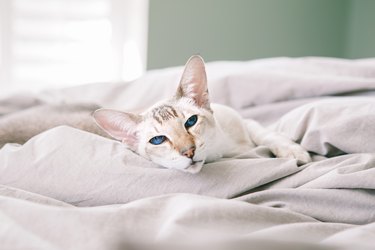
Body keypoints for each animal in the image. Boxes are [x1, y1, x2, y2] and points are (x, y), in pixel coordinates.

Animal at [93, 54, 312, 173]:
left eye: (191, 121)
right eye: (157, 140)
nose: (188, 152)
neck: (223, 150)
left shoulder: (245, 120)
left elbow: (267, 134)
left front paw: (295, 152)